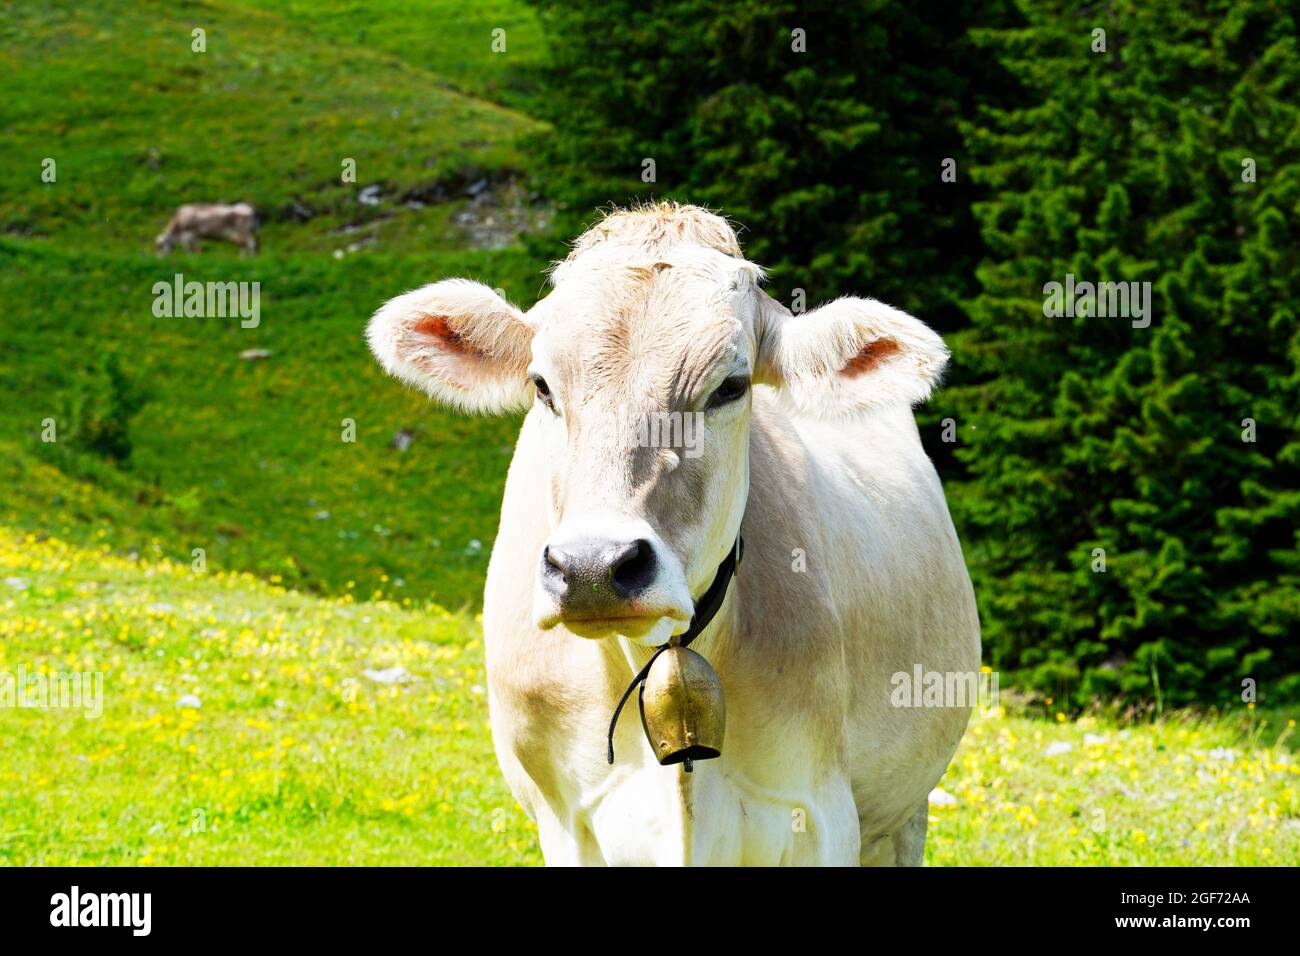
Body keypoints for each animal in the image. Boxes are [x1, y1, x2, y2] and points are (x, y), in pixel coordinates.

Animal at [366, 201, 977, 868]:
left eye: (731, 385)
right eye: (542, 386)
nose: (592, 568)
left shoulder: (821, 812)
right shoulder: (564, 818)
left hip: (902, 811)